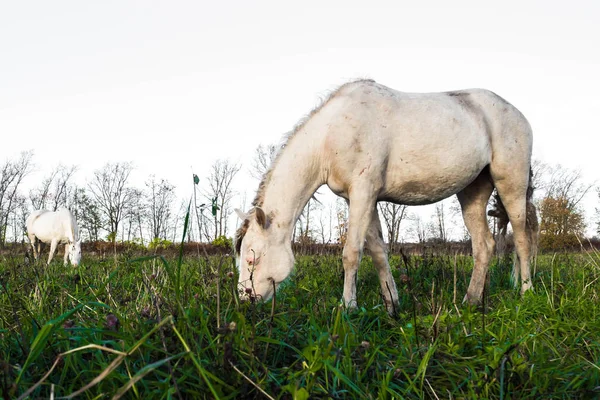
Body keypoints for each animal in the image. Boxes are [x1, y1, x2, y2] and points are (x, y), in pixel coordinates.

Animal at [236, 79, 540, 316]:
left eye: (252, 259)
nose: (245, 301)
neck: (332, 134)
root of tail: (516, 113)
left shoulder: (363, 193)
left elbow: (352, 253)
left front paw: (347, 308)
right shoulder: (362, 199)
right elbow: (378, 251)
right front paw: (392, 304)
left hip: (511, 185)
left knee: (522, 240)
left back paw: (526, 292)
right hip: (472, 193)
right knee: (484, 246)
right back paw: (470, 301)